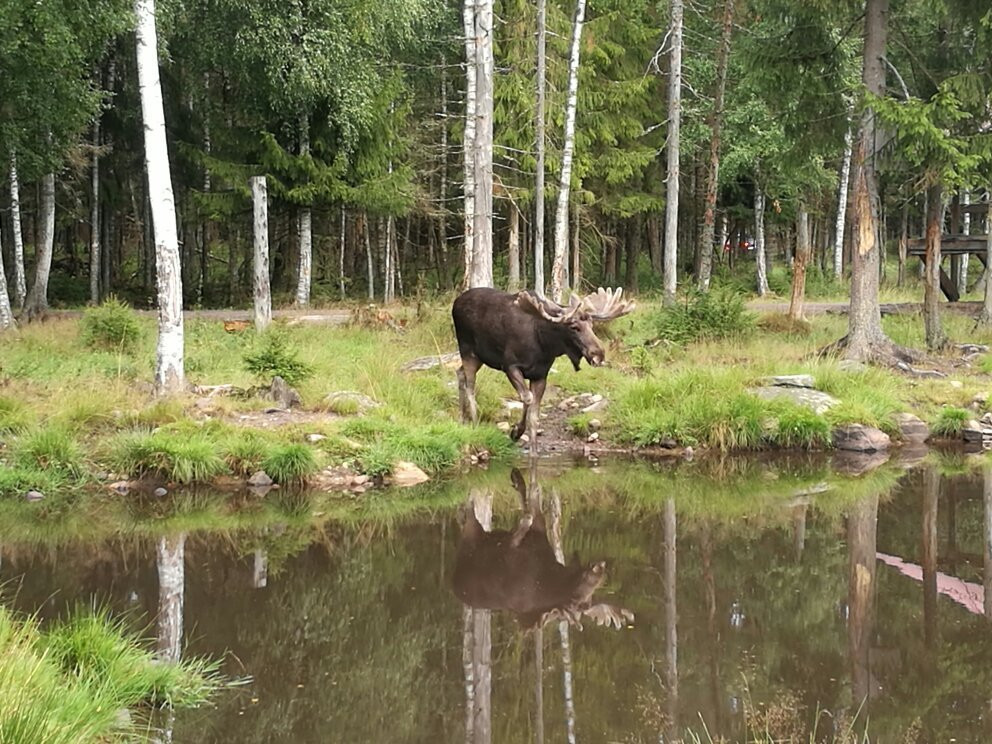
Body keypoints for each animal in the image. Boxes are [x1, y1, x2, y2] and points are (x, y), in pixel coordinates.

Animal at [452, 288, 636, 444]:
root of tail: (455, 303)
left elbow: (535, 418)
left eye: (591, 325)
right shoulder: (510, 365)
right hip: (467, 350)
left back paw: (462, 417)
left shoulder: (540, 374)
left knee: (459, 372)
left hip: (480, 357)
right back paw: (474, 421)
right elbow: (527, 398)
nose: (599, 354)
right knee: (470, 384)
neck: (544, 344)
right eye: (574, 327)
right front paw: (516, 431)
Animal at [454, 468, 632, 632]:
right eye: (579, 604)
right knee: (471, 514)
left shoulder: (536, 532)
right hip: (472, 538)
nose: (601, 565)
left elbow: (532, 506)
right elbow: (529, 510)